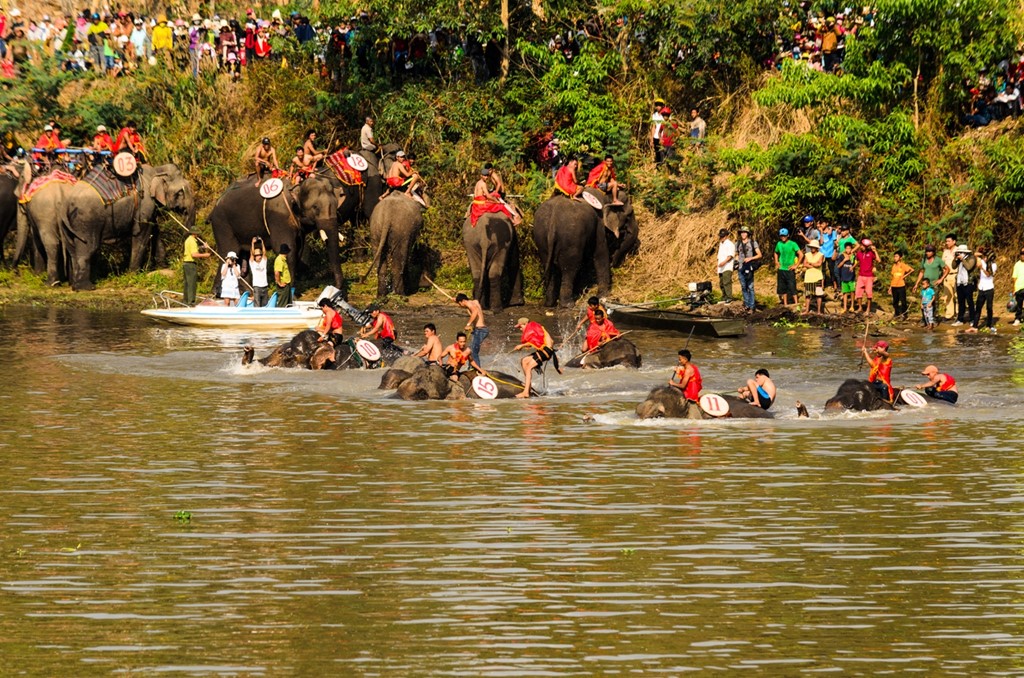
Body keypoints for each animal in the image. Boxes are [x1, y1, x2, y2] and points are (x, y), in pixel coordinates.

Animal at [207, 174, 339, 288]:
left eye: (336, 204)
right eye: (315, 208)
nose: (336, 287)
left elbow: (299, 249)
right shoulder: (279, 217)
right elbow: (286, 248)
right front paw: (288, 289)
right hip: (222, 224)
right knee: (229, 253)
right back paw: (219, 292)